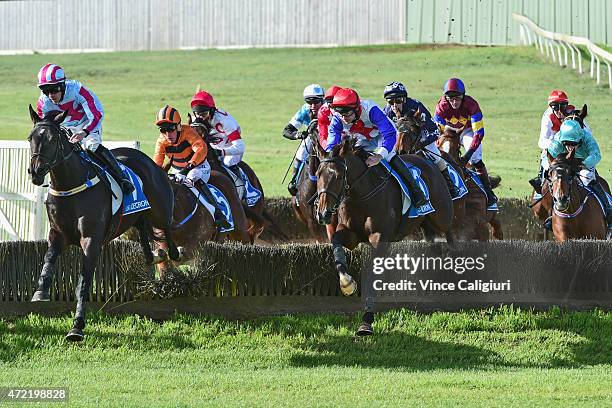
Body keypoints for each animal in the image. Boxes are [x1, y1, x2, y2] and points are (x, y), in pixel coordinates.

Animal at [27, 106, 179, 342]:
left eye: (52, 139)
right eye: (30, 138)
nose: (36, 172)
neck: (70, 184)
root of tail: (148, 161)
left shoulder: (91, 240)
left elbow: (83, 283)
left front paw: (77, 327)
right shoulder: (57, 233)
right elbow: (48, 259)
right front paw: (41, 291)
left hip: (160, 210)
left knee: (167, 226)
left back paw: (171, 252)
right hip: (137, 215)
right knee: (143, 230)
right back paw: (153, 255)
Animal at [316, 139, 454, 336]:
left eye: (338, 176)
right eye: (317, 175)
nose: (323, 214)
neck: (361, 196)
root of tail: (427, 160)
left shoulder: (379, 238)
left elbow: (373, 275)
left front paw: (366, 321)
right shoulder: (350, 234)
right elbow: (336, 244)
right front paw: (347, 283)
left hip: (442, 217)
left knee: (451, 238)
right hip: (427, 226)